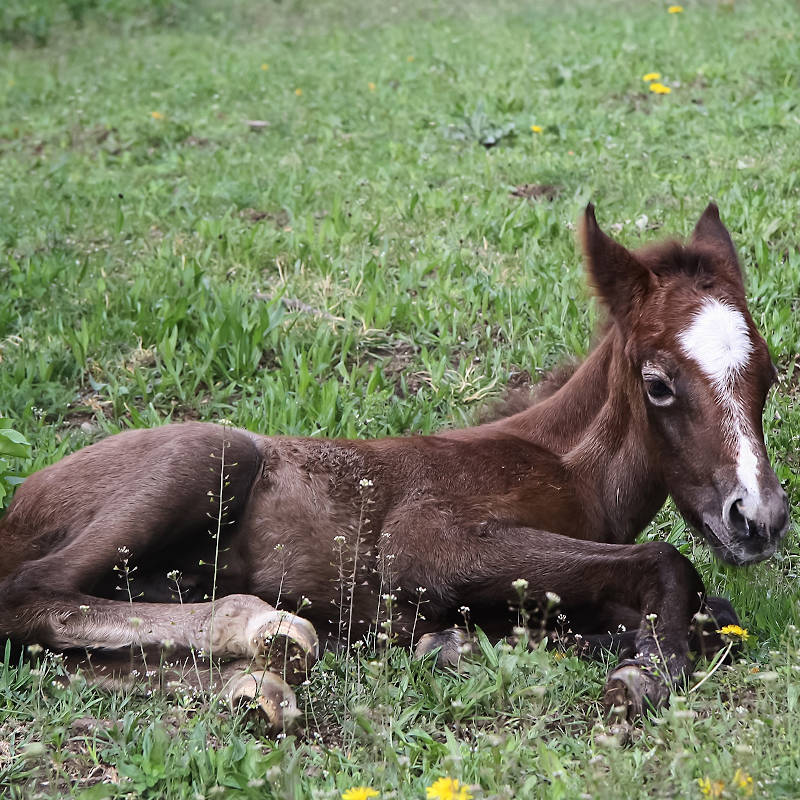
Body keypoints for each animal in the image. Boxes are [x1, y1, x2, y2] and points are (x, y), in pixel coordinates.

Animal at [0, 202, 788, 724]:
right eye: (658, 383)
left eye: (769, 375)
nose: (758, 518)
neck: (567, 466)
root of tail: (15, 507)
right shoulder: (424, 542)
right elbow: (668, 564)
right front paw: (644, 672)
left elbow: (712, 616)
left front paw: (459, 643)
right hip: (210, 454)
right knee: (31, 596)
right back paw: (264, 633)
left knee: (61, 653)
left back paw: (257, 686)